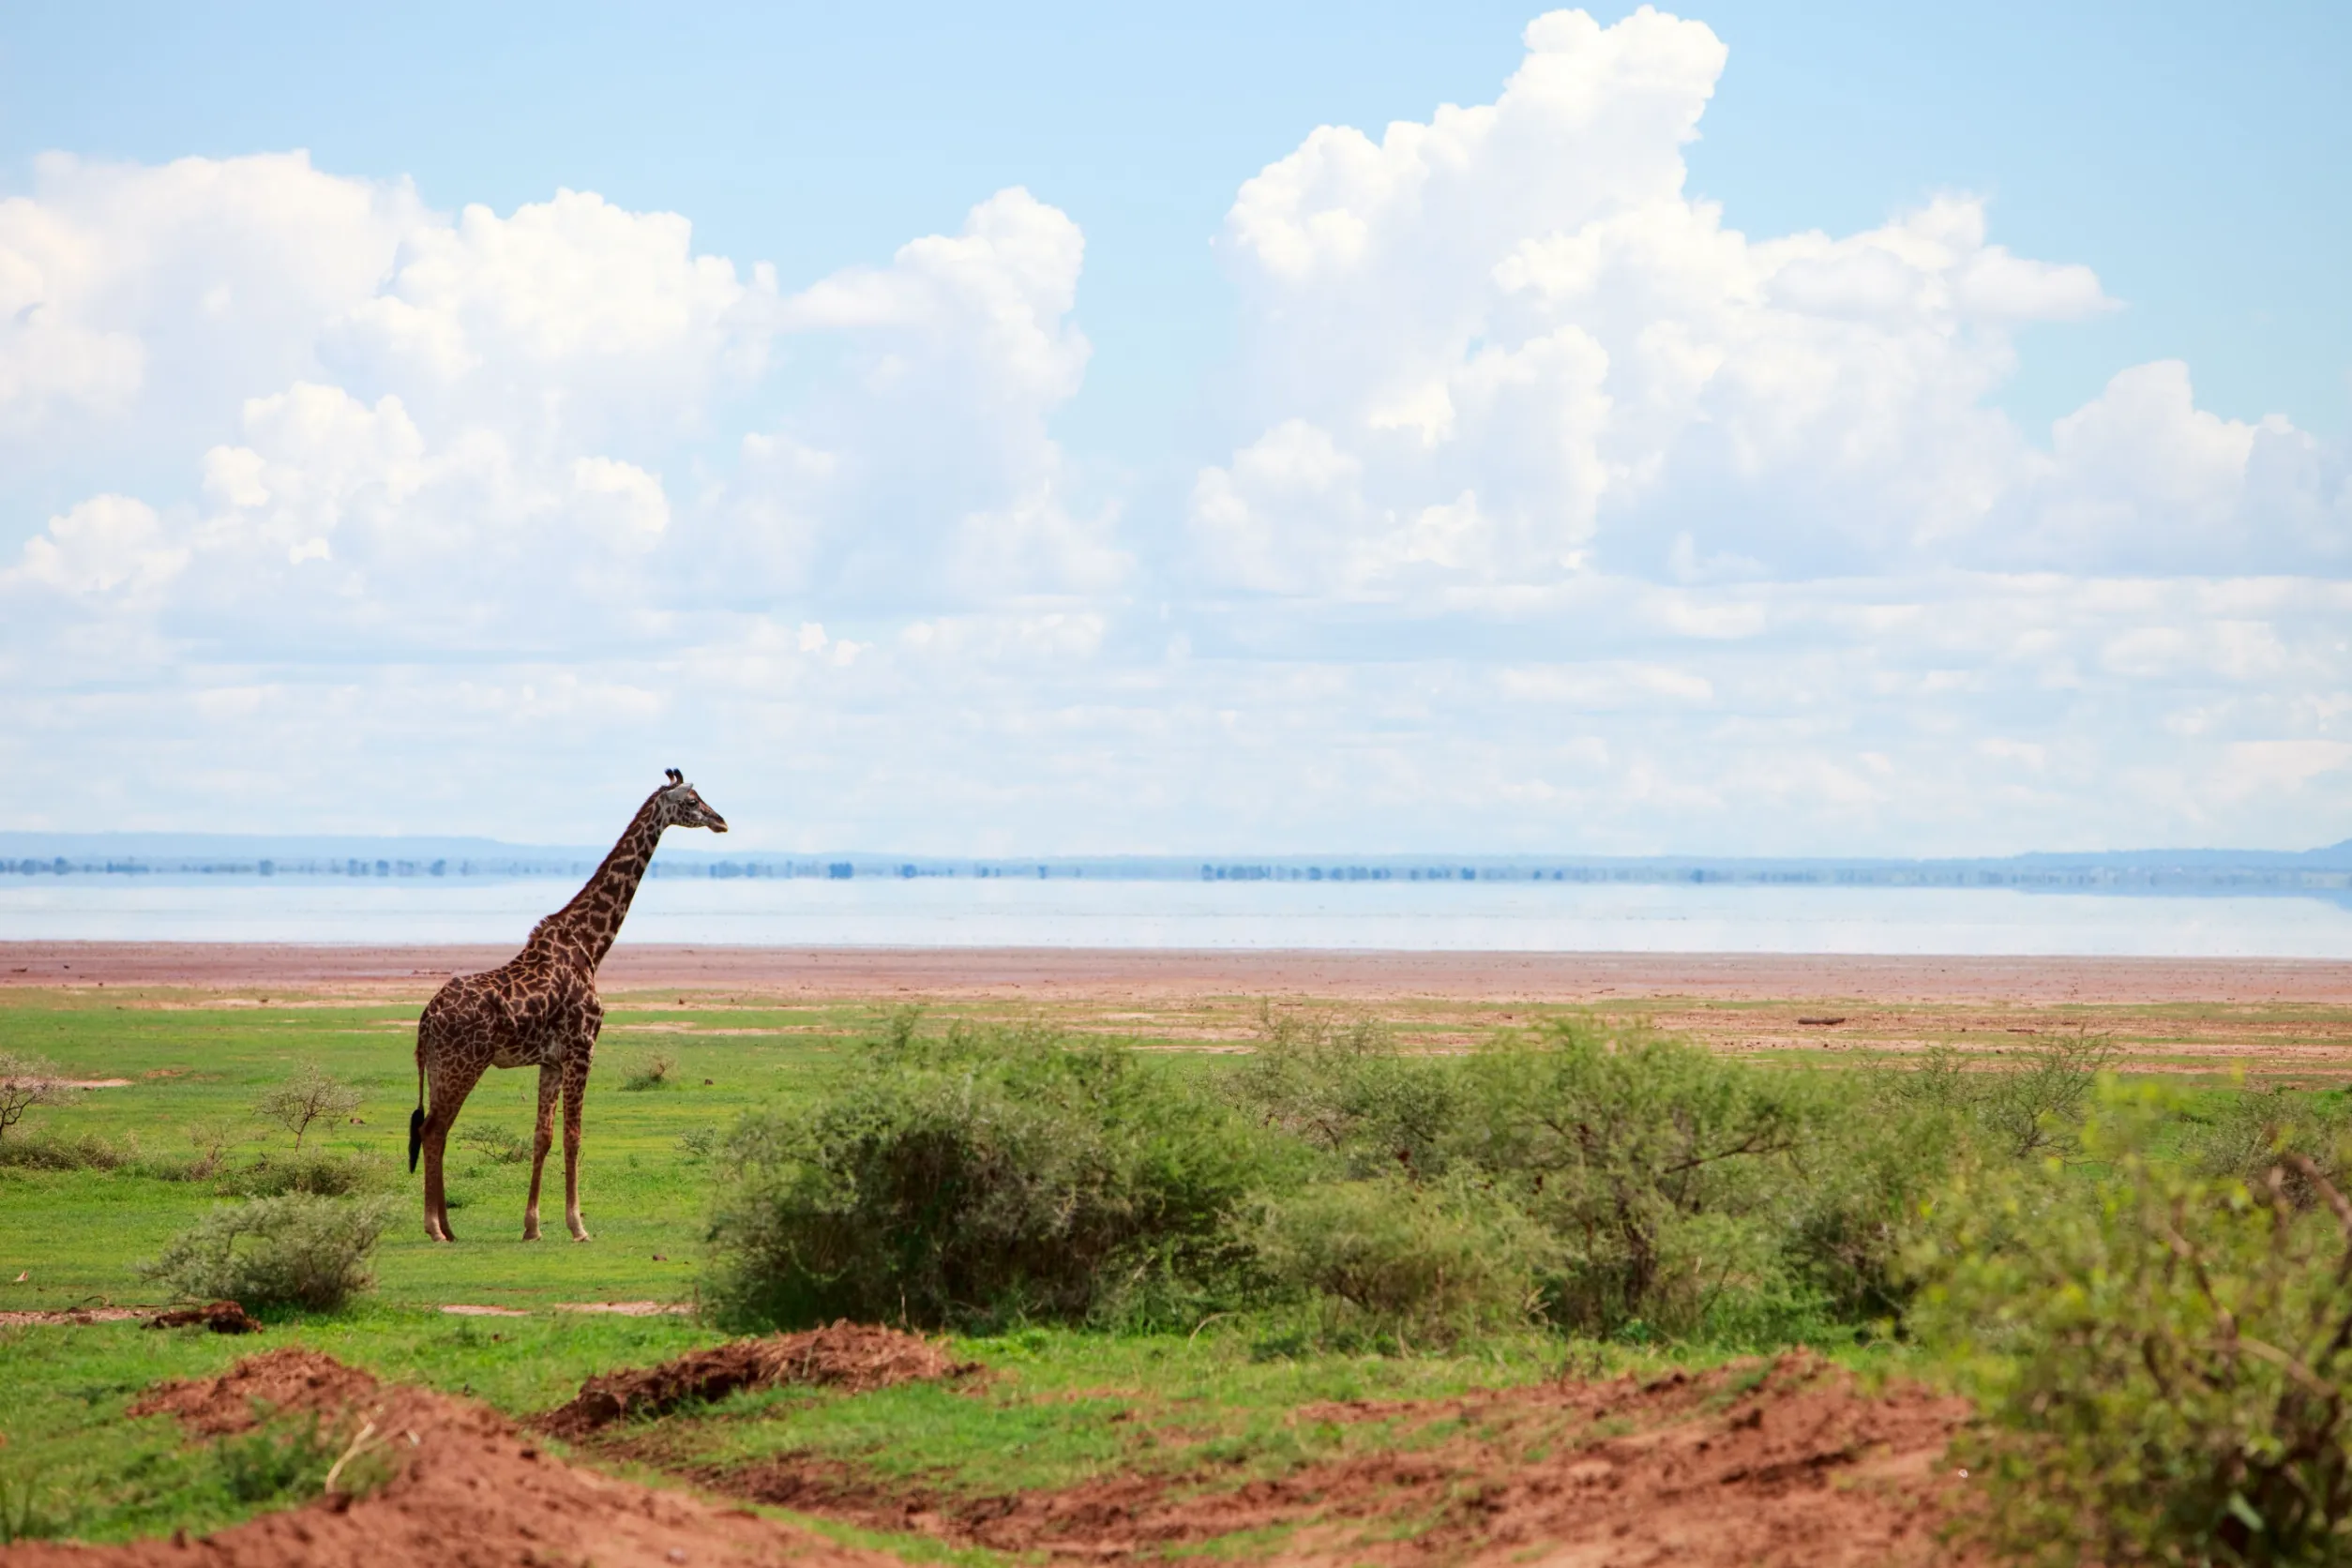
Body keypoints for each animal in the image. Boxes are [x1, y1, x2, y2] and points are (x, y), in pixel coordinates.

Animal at [407, 769, 728, 1242]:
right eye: (692, 801)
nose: (720, 821)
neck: (590, 945)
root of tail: (425, 1020)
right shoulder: (582, 1049)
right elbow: (574, 1136)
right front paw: (578, 1226)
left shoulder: (551, 1060)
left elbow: (542, 1136)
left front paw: (532, 1227)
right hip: (460, 1064)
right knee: (432, 1130)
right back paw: (434, 1229)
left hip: (440, 1067)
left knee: (438, 1130)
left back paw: (448, 1225)